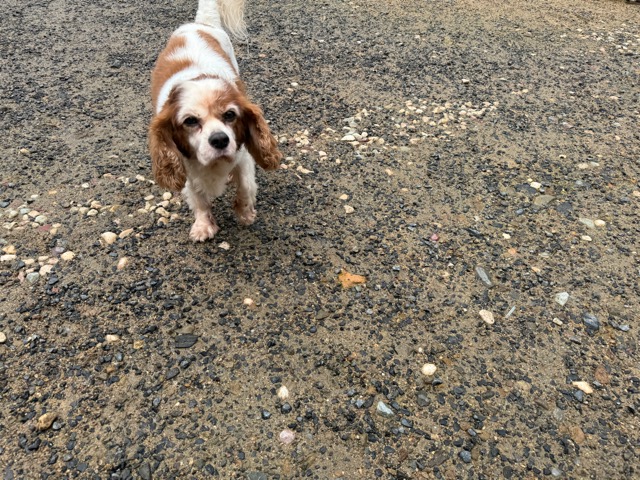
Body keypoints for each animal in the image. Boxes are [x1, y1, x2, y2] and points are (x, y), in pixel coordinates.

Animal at [149, 0, 282, 242]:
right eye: (190, 121)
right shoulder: (185, 166)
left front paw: (244, 212)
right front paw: (203, 226)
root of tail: (200, 23)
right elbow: (199, 200)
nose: (220, 140)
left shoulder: (242, 156)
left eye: (230, 115)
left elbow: (245, 185)